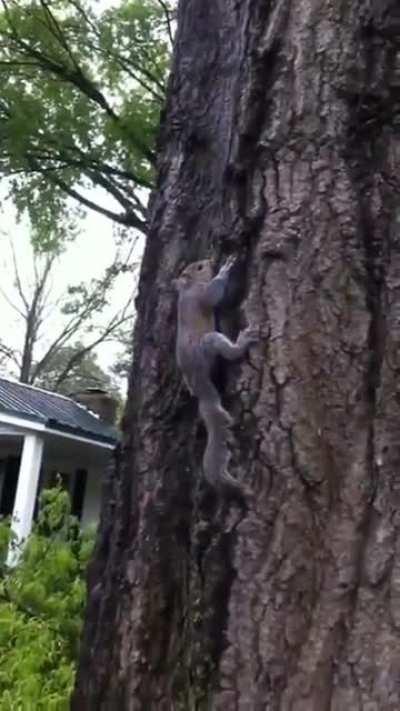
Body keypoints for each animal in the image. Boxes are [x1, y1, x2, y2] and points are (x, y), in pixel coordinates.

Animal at [174, 256, 258, 499]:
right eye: (200, 267)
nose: (211, 260)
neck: (188, 287)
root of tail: (200, 387)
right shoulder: (202, 294)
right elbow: (214, 295)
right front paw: (225, 269)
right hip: (208, 345)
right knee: (228, 351)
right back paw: (241, 344)